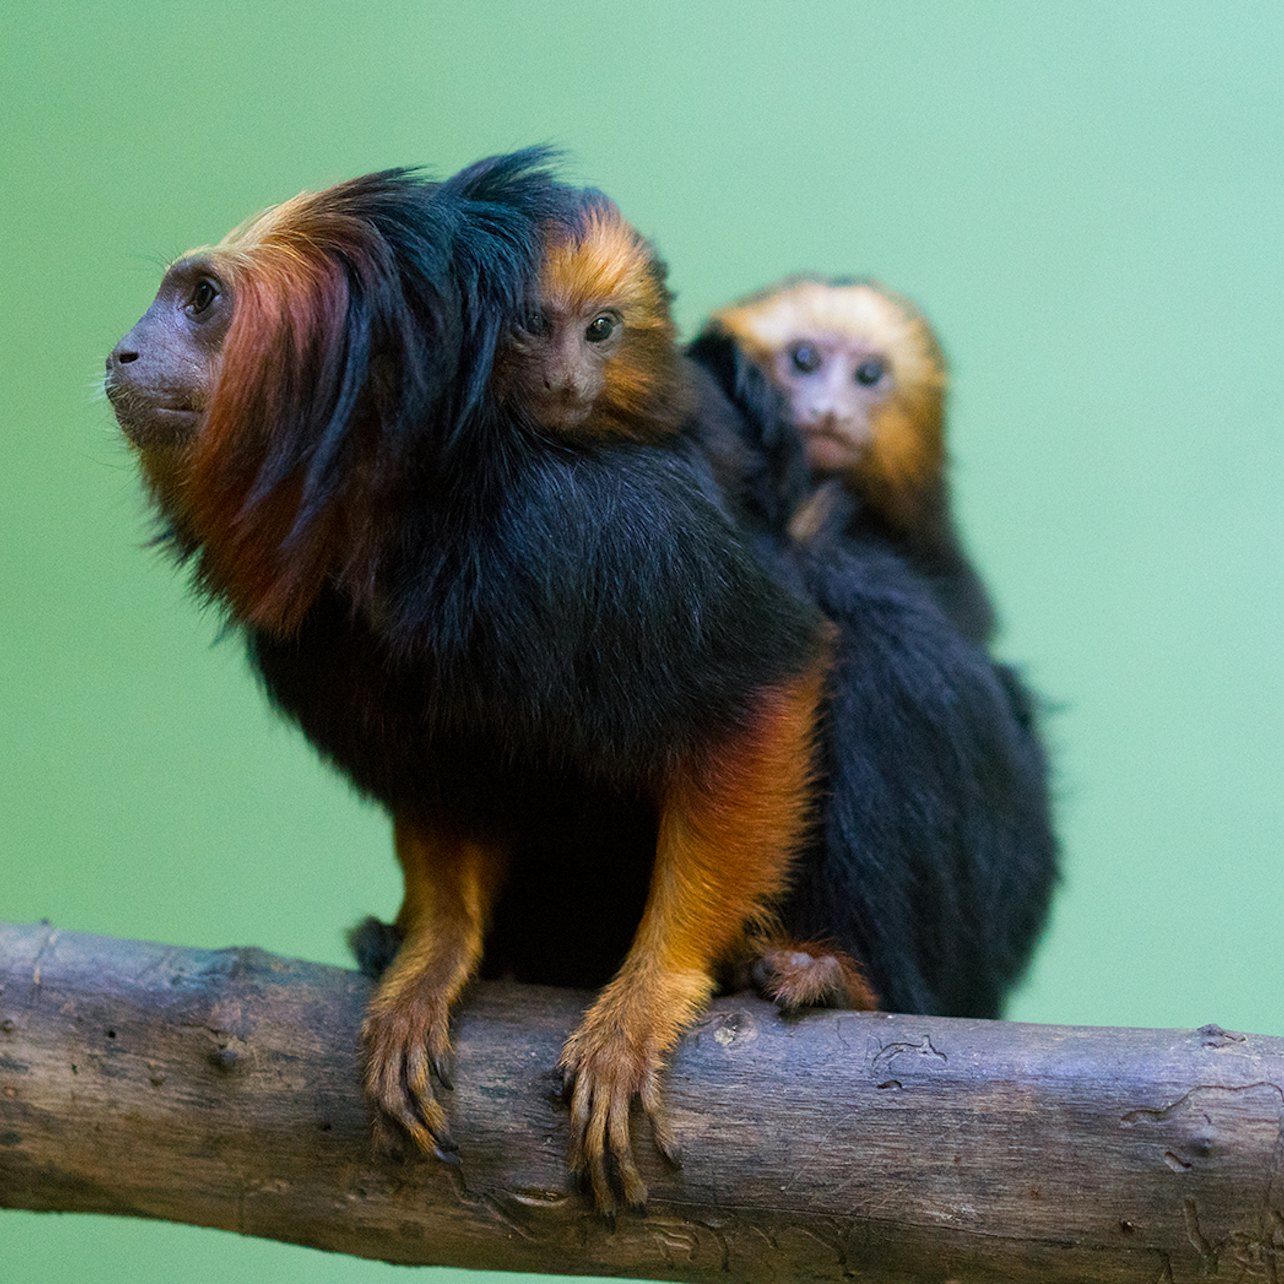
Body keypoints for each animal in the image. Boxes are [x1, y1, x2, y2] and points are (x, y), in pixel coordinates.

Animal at [104, 151, 830, 1215]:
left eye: (201, 300)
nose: (124, 353)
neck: (409, 512)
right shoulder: (321, 631)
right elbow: (445, 779)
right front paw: (434, 958)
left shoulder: (597, 529)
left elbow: (761, 693)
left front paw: (651, 995)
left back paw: (820, 972)